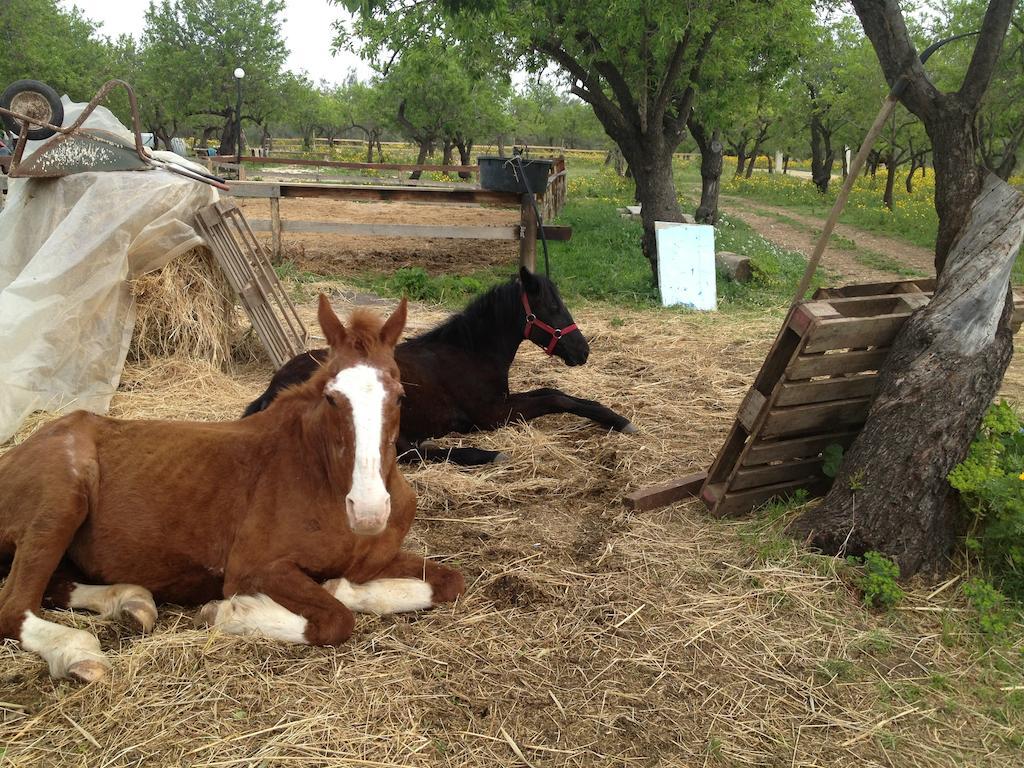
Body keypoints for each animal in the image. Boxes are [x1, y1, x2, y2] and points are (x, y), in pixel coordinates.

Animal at [0, 296, 464, 684]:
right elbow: (334, 620)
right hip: (61, 501)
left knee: (55, 586)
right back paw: (78, 652)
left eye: (400, 397)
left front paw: (344, 588)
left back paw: (132, 602)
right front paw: (229, 612)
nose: (368, 511)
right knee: (14, 607)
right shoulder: (254, 568)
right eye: (333, 398)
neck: (320, 478)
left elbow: (448, 582)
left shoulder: (379, 559)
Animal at [243, 268, 634, 466]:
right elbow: (554, 397)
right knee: (403, 452)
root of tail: (271, 389)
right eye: (552, 307)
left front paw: (613, 417)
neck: (469, 351)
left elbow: (555, 392)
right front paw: (619, 420)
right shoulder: (490, 413)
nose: (582, 351)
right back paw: (485, 454)